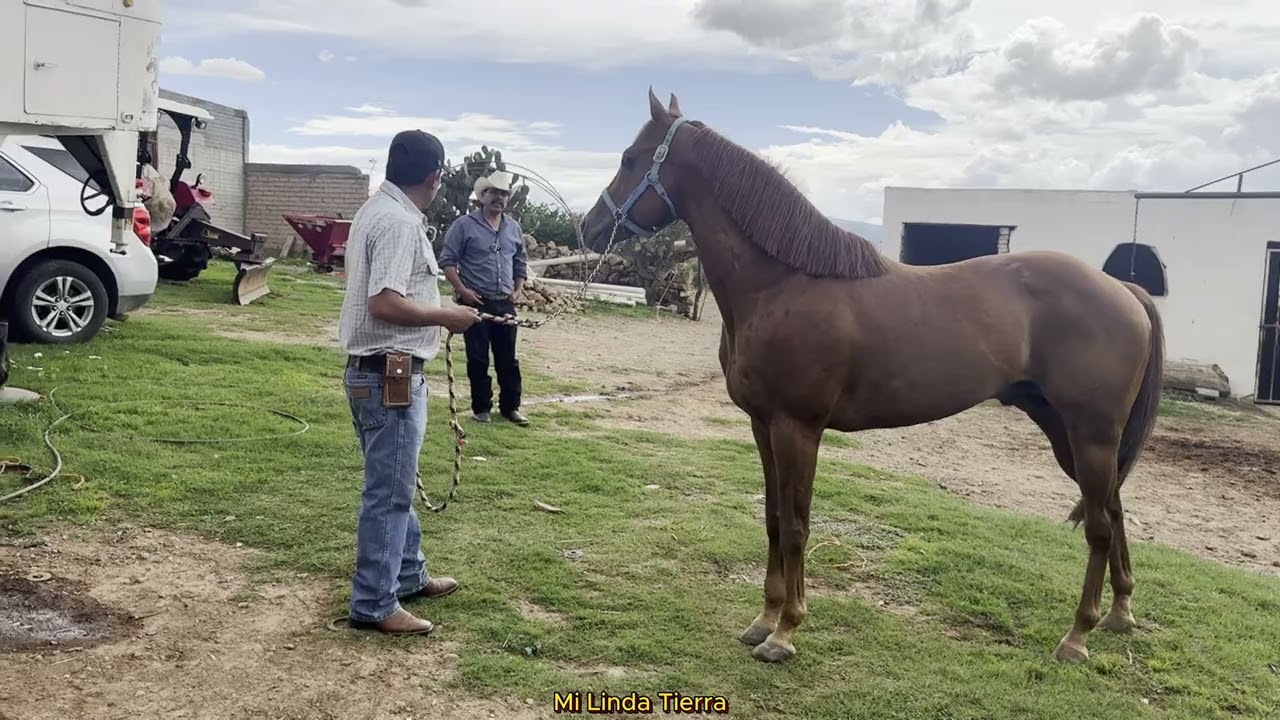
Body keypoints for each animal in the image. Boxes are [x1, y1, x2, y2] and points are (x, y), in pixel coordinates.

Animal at [578, 88, 1165, 665]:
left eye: (630, 158)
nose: (588, 226)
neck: (783, 284)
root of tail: (1124, 289)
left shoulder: (798, 428)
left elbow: (796, 525)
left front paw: (785, 632)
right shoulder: (762, 426)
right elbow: (772, 519)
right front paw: (763, 619)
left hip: (1089, 434)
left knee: (1099, 526)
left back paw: (1077, 636)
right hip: (1069, 434)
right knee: (1113, 508)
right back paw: (1119, 613)